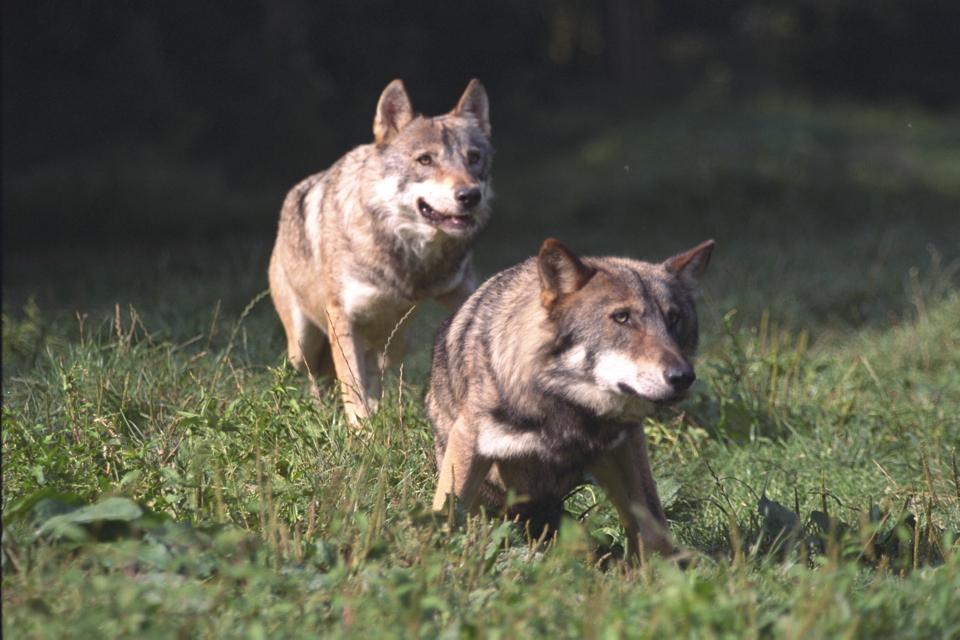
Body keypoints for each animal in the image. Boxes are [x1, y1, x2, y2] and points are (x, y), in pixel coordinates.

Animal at [269, 79, 493, 426]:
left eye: (474, 157)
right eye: (425, 160)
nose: (470, 195)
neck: (409, 256)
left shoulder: (459, 291)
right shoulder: (341, 318)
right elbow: (351, 384)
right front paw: (360, 431)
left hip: (396, 344)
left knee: (374, 375)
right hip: (302, 346)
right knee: (318, 379)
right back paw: (324, 414)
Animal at [426, 237, 714, 559]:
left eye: (673, 318)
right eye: (622, 317)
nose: (683, 377)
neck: (566, 405)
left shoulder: (627, 441)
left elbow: (653, 526)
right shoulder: (469, 442)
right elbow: (448, 514)